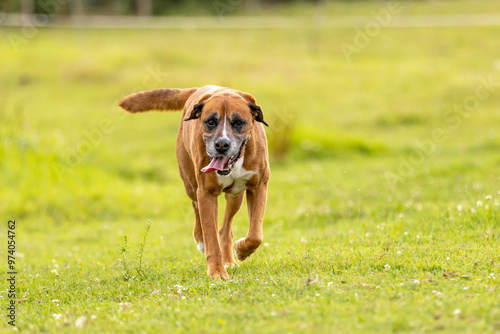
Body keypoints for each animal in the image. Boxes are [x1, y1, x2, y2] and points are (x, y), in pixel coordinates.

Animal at [118, 85, 270, 280]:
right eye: (210, 122)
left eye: (238, 122)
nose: (222, 144)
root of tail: (200, 88)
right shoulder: (206, 193)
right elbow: (211, 236)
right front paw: (216, 272)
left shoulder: (259, 186)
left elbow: (255, 235)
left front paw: (242, 251)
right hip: (191, 185)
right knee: (197, 210)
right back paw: (201, 240)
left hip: (235, 196)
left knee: (225, 228)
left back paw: (229, 260)